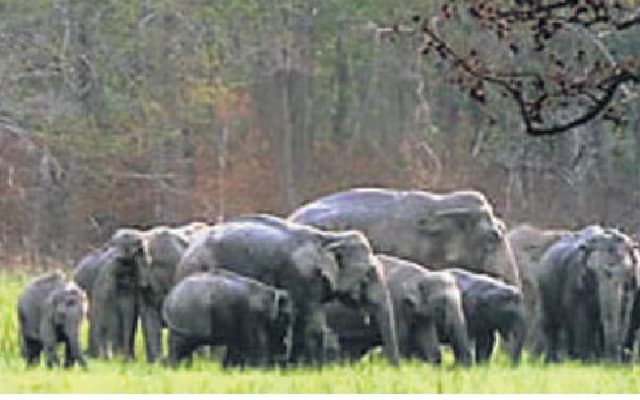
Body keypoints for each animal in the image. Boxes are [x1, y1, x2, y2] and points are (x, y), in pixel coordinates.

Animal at [163, 271, 294, 367]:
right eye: (286, 318)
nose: (283, 357)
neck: (271, 293)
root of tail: (169, 298)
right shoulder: (252, 317)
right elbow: (256, 345)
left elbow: (235, 346)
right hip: (185, 319)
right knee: (179, 348)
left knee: (184, 348)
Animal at [175, 214, 400, 366]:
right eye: (368, 275)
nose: (394, 369)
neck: (328, 238)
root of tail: (187, 252)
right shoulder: (301, 277)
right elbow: (311, 324)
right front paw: (307, 368)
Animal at [325, 254, 472, 366]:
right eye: (442, 301)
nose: (459, 366)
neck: (422, 275)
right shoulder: (396, 303)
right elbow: (401, 336)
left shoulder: (421, 314)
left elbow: (428, 340)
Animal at [536, 225, 639, 362]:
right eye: (593, 272)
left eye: (628, 271)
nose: (612, 361)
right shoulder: (575, 279)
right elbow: (580, 315)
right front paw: (584, 361)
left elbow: (627, 312)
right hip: (544, 288)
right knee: (551, 323)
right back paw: (555, 360)